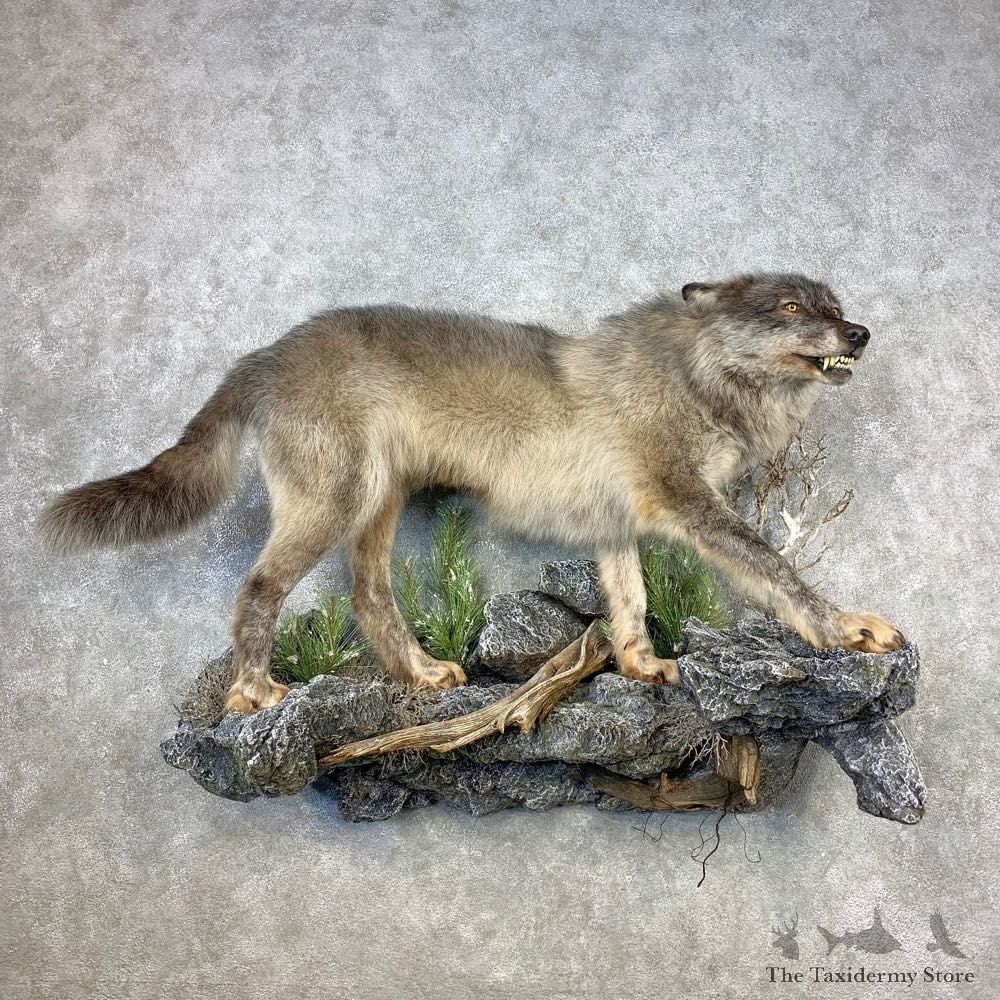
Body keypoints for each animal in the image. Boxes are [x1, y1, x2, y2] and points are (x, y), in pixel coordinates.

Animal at [39, 272, 904, 714]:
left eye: (834, 305)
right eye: (791, 308)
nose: (862, 333)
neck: (694, 375)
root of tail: (265, 353)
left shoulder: (618, 526)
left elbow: (628, 605)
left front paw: (642, 666)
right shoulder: (689, 507)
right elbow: (780, 574)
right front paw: (846, 629)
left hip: (375, 511)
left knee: (368, 597)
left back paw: (422, 677)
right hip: (333, 508)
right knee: (257, 589)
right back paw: (254, 692)